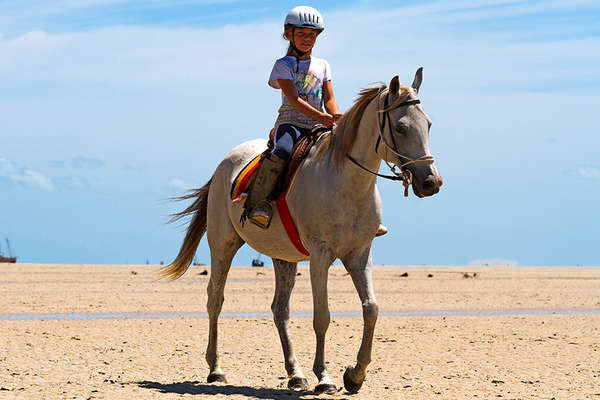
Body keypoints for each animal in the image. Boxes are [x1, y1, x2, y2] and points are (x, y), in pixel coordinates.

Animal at [162, 69, 442, 394]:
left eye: (428, 124)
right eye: (401, 127)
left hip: (284, 258)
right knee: (215, 301)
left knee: (280, 310)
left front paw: (355, 374)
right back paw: (216, 369)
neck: (345, 181)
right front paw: (325, 377)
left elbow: (371, 308)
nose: (431, 182)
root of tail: (225, 163)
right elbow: (322, 316)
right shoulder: (321, 256)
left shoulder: (359, 255)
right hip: (223, 246)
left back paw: (295, 374)